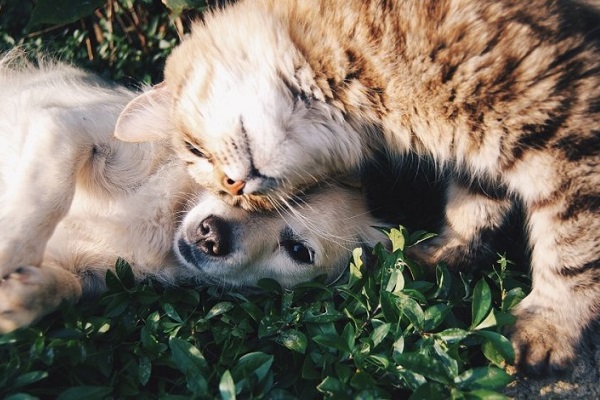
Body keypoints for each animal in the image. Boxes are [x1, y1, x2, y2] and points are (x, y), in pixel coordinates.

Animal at [0, 54, 386, 334]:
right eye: (237, 180)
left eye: (298, 251)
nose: (211, 236)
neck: (166, 218)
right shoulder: (66, 126)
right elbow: (46, 198)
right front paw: (9, 251)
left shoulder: (91, 274)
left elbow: (68, 288)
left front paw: (23, 295)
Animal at [116, 0, 600, 376]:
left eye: (195, 149)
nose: (234, 187)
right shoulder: (483, 151)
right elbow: (473, 208)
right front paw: (443, 255)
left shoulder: (566, 133)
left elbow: (572, 252)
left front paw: (549, 327)